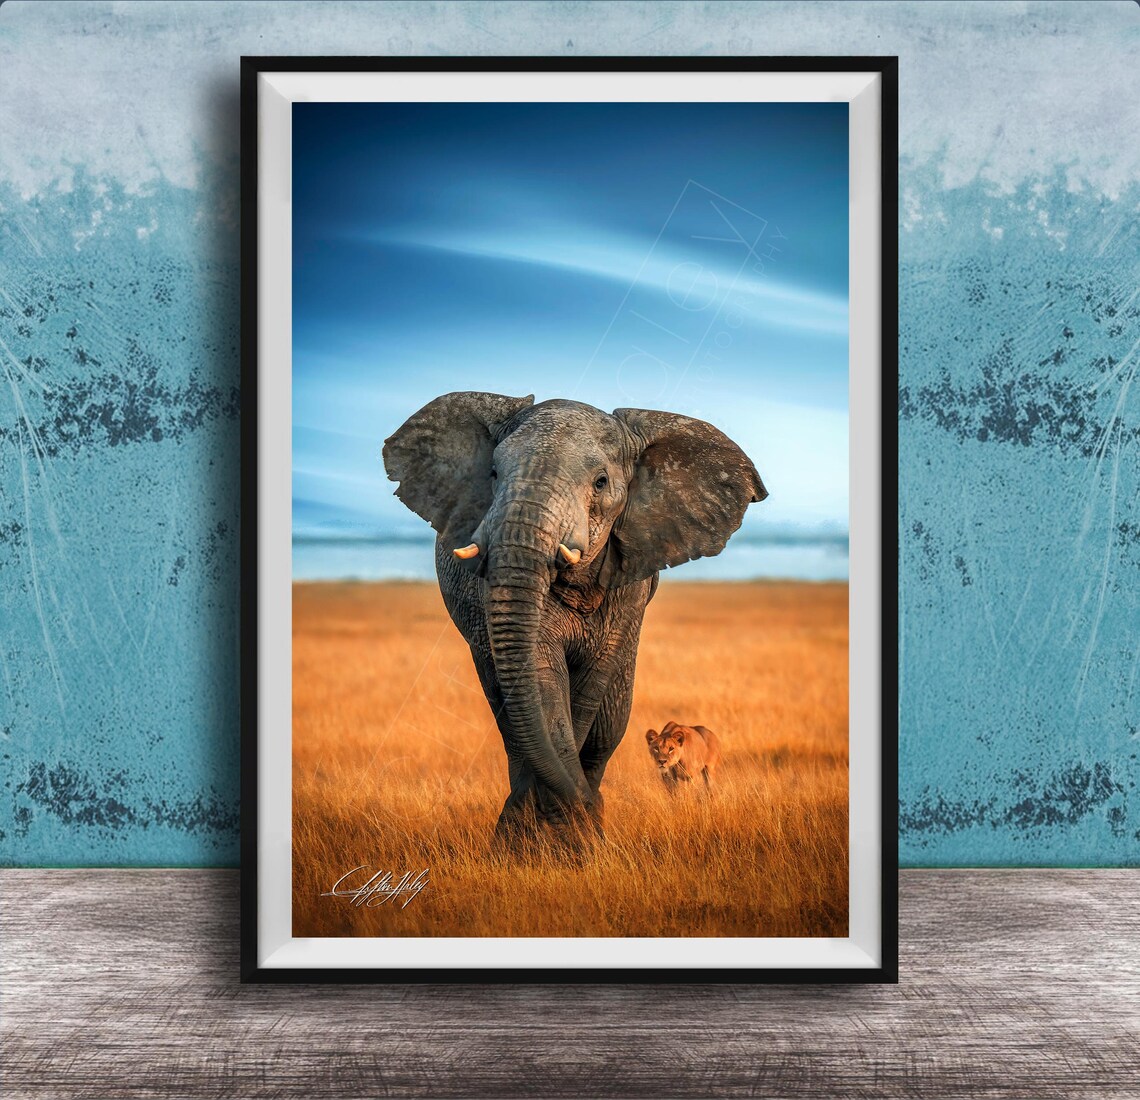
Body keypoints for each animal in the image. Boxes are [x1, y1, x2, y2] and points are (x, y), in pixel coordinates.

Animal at [382, 392, 767, 850]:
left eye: (600, 482)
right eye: (493, 473)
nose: (587, 810)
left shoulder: (629, 585)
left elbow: (588, 690)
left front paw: (575, 838)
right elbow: (544, 680)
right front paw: (549, 839)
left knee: (608, 727)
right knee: (508, 717)